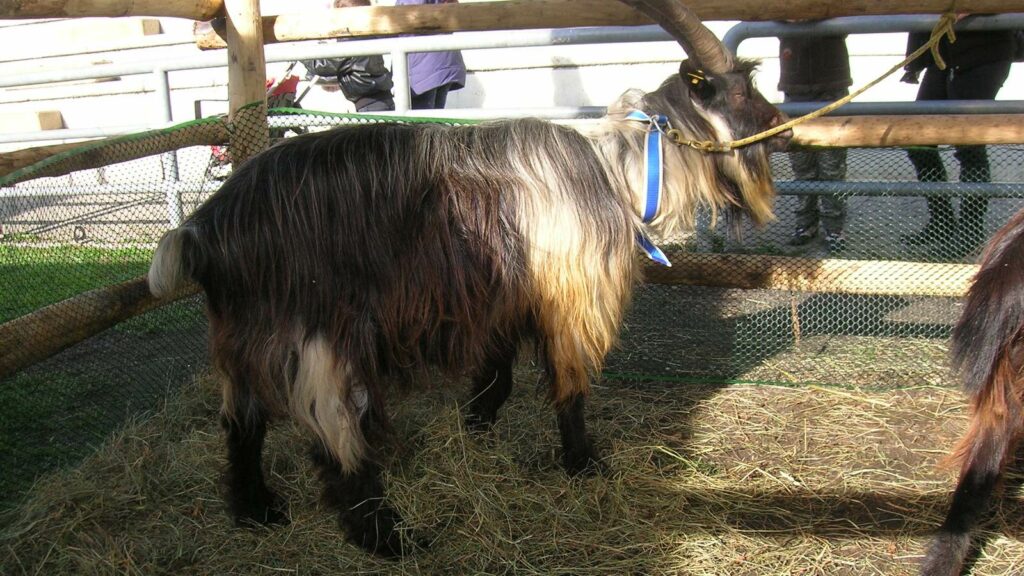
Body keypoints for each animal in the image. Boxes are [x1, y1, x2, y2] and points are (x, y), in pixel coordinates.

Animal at [147, 0, 790, 557]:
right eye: (738, 90)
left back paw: (254, 509)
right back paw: (387, 537)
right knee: (334, 441)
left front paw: (476, 430)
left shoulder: (505, 299)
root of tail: (205, 229)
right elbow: (570, 387)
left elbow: (495, 377)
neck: (617, 172)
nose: (783, 130)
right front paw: (584, 463)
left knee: (241, 421)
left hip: (246, 333)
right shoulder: (568, 301)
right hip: (318, 336)